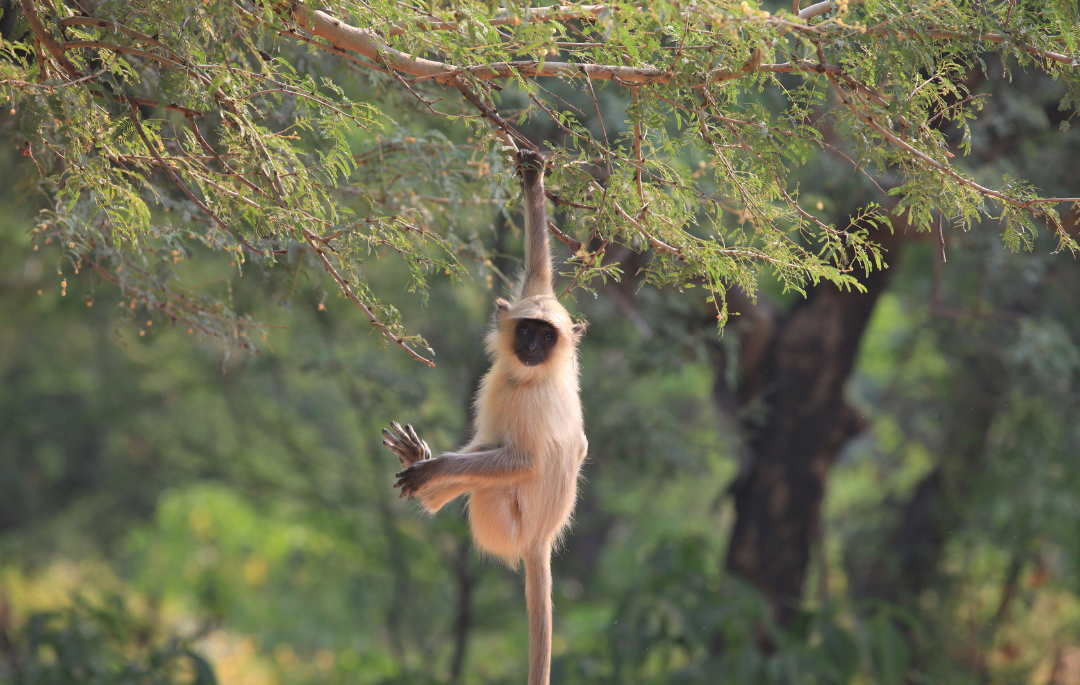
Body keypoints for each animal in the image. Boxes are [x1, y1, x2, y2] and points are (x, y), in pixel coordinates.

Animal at [382, 148, 587, 682]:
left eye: (546, 337)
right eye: (527, 331)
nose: (533, 347)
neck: (525, 377)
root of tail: (541, 541)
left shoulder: (533, 401)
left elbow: (527, 461)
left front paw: (433, 468)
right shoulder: (536, 301)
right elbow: (539, 271)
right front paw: (533, 181)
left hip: (504, 521)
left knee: (489, 474)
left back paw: (428, 481)